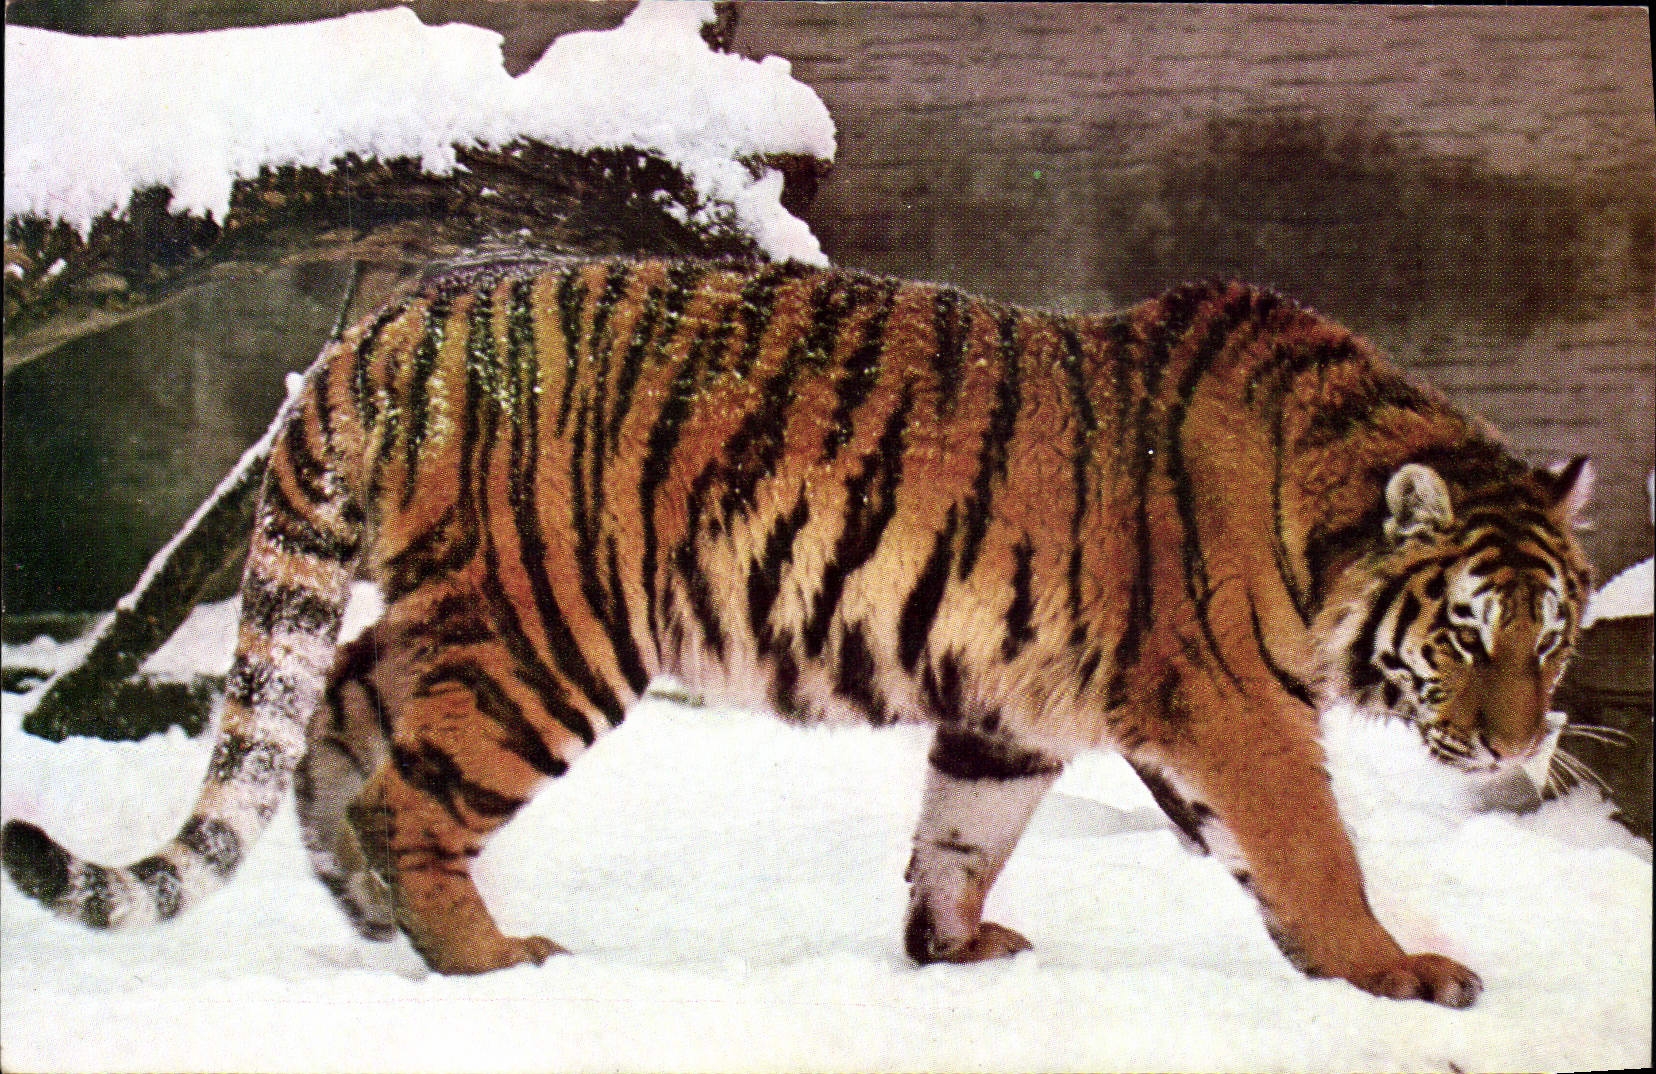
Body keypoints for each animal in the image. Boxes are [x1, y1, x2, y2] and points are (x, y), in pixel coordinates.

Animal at [2, 253, 1594, 1007]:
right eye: (1465, 634)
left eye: (1556, 639)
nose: (1524, 744)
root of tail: (386, 327)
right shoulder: (1234, 705)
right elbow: (1313, 843)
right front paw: (1394, 973)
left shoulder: (1012, 710)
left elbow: (962, 830)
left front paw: (948, 949)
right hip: (549, 635)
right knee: (408, 792)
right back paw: (487, 959)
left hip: (459, 608)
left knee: (332, 703)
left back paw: (365, 911)